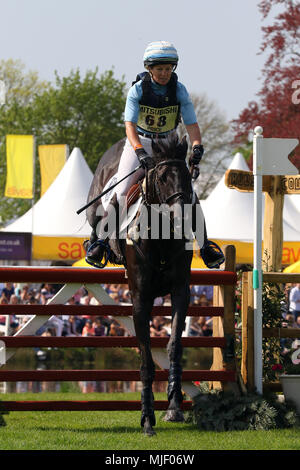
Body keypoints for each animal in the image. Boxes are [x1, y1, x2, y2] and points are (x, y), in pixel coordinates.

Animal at [85, 134, 198, 436]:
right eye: (161, 177)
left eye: (187, 175)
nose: (181, 217)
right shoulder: (140, 300)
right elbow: (146, 361)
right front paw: (147, 418)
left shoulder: (180, 293)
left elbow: (174, 346)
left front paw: (174, 405)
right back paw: (94, 248)